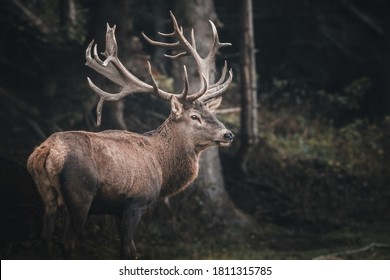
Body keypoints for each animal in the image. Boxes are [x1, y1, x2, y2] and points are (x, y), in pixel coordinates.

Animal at [27, 12, 235, 260]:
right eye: (195, 117)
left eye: (211, 113)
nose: (228, 134)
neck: (162, 167)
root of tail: (47, 151)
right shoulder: (136, 201)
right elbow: (129, 250)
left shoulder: (116, 209)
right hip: (80, 194)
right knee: (67, 242)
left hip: (45, 195)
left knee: (44, 239)